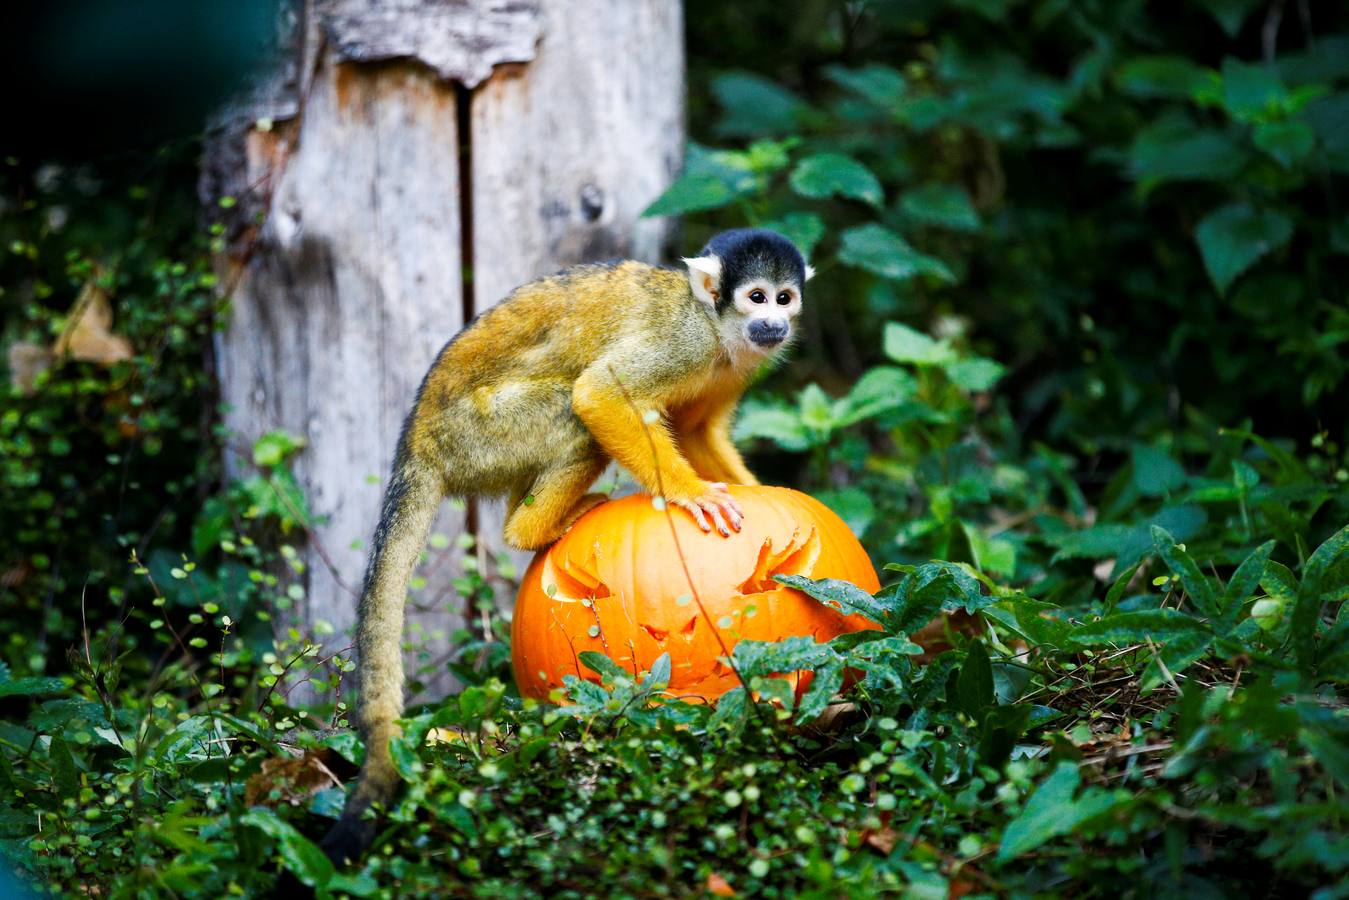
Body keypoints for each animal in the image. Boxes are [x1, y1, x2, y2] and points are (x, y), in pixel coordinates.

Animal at [319, 228, 813, 865]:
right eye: (755, 297)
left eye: (784, 298)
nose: (772, 322)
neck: (716, 324)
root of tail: (417, 442)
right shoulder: (686, 342)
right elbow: (599, 394)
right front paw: (692, 493)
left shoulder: (731, 367)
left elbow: (696, 430)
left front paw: (749, 487)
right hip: (479, 434)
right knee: (570, 413)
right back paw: (532, 530)